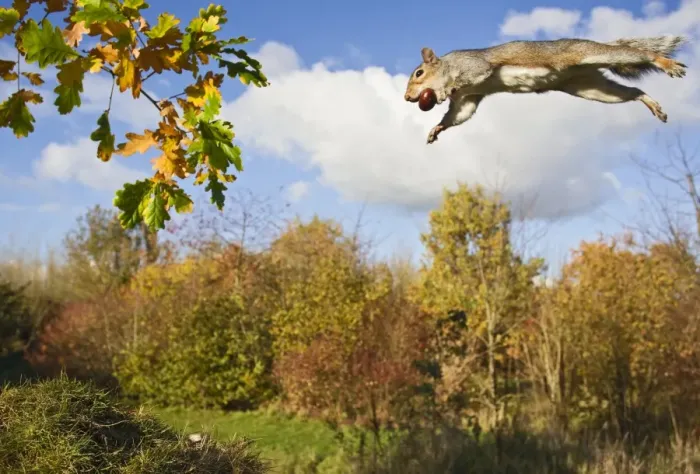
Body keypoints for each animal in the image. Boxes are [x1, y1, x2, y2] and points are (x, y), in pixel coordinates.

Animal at [403, 36, 688, 144]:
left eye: (418, 74)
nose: (407, 97)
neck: (448, 66)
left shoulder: (474, 67)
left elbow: (473, 75)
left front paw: (444, 91)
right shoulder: (468, 99)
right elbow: (460, 114)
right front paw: (436, 128)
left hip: (592, 55)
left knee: (638, 54)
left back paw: (666, 64)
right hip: (592, 87)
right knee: (633, 91)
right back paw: (652, 104)